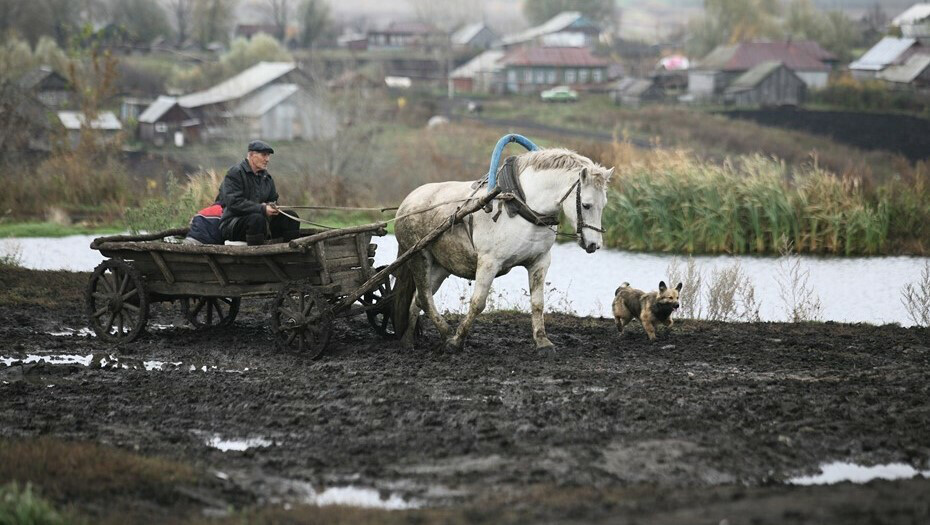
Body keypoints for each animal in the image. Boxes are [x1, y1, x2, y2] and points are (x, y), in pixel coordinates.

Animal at [390, 147, 608, 350]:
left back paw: (408, 340)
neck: (522, 205)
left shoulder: (540, 261)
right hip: (419, 257)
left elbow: (538, 303)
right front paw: (458, 340)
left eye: (604, 204)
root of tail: (407, 202)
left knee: (417, 300)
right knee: (425, 298)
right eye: (586, 205)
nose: (594, 244)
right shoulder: (489, 263)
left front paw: (543, 342)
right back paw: (446, 335)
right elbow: (478, 303)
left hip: (441, 267)